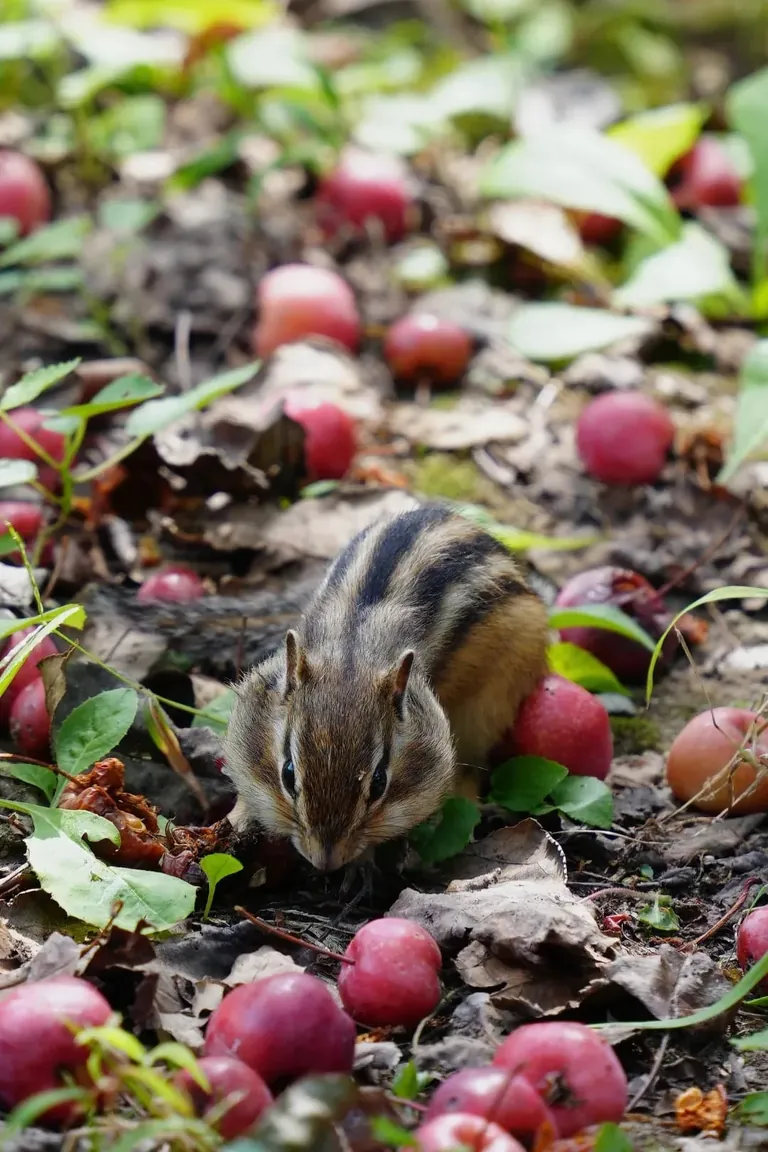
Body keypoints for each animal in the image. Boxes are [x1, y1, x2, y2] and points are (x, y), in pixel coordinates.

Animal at [224, 503, 549, 872]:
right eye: (288, 774)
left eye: (379, 782)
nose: (326, 861)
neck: (352, 649)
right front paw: (238, 816)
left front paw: (363, 861)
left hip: (490, 703)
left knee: (470, 766)